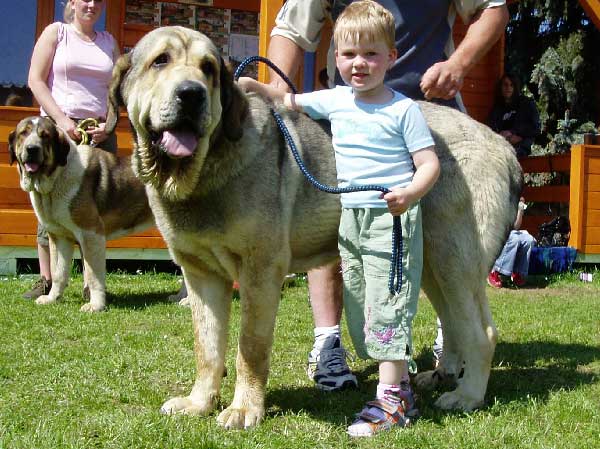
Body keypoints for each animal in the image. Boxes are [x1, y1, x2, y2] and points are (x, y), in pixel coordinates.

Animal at [8, 115, 155, 312]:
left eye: (45, 136)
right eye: (23, 133)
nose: (32, 149)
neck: (57, 177)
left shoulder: (91, 234)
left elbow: (93, 275)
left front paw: (96, 305)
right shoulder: (60, 237)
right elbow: (58, 272)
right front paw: (52, 298)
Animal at [105, 27, 524, 428]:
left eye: (207, 68)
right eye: (160, 61)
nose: (191, 94)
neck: (203, 172)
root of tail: (502, 146)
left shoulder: (261, 271)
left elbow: (249, 347)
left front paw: (244, 410)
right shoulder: (201, 275)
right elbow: (207, 347)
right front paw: (198, 403)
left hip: (453, 259)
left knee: (481, 332)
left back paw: (466, 395)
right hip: (430, 262)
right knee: (454, 323)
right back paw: (442, 374)